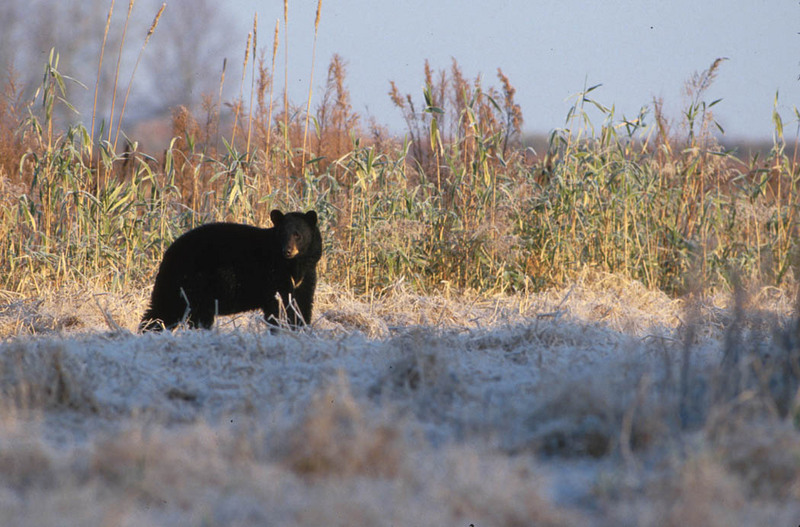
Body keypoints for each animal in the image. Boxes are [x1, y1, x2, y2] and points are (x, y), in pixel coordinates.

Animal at [139, 209, 320, 330]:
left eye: (297, 235)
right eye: (282, 233)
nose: (287, 251)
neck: (293, 265)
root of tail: (169, 252)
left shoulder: (306, 277)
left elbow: (302, 305)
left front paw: (301, 329)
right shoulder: (274, 276)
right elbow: (278, 306)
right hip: (192, 284)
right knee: (168, 308)